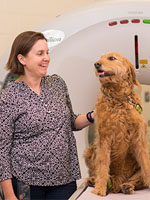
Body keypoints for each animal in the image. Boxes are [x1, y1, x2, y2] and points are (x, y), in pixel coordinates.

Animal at [84, 52, 150, 197]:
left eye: (111, 58)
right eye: (100, 58)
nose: (96, 64)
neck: (118, 98)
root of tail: (117, 183)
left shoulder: (139, 138)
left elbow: (146, 164)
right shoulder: (104, 139)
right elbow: (102, 166)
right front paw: (100, 189)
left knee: (137, 180)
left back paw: (127, 186)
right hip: (90, 150)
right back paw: (93, 181)